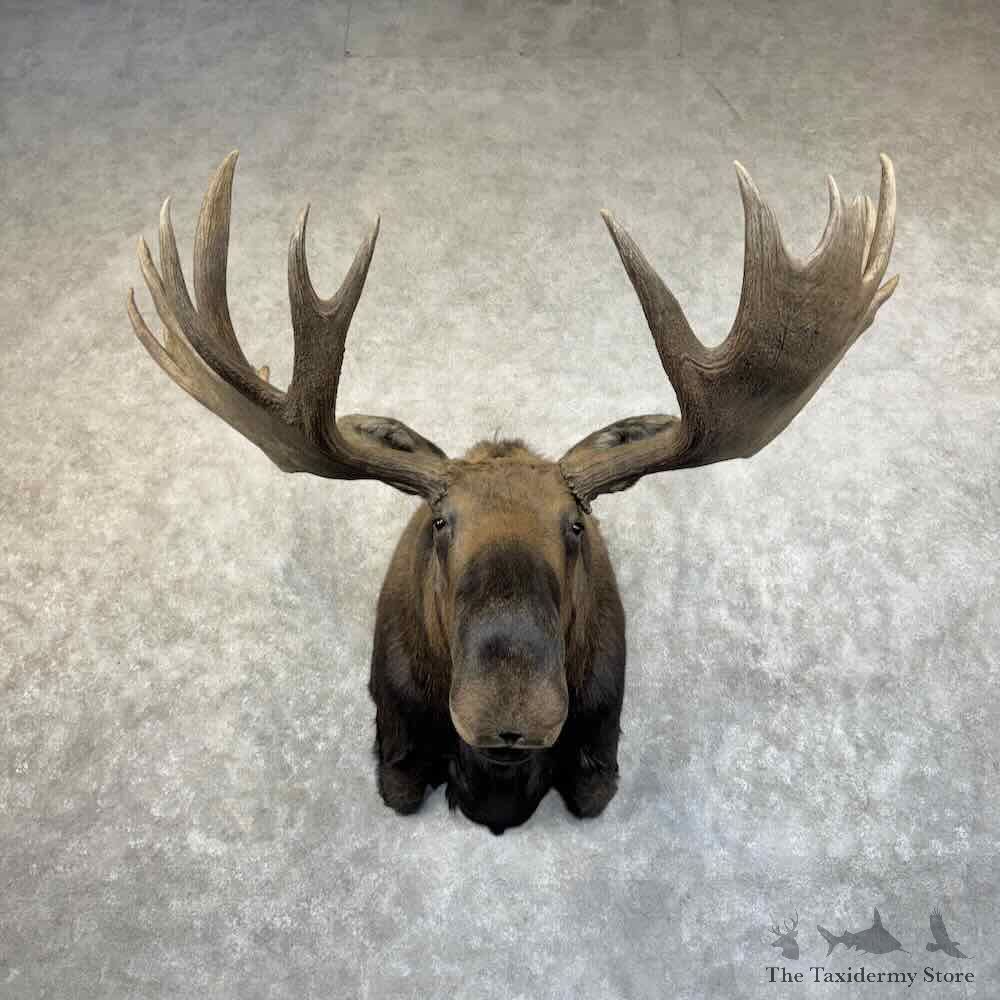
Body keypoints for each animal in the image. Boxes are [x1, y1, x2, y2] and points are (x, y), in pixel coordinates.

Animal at [127, 151, 898, 834]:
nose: (510, 713)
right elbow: (400, 784)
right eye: (440, 523)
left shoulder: (600, 748)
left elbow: (592, 788)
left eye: (575, 525)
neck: (498, 786)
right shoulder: (395, 745)